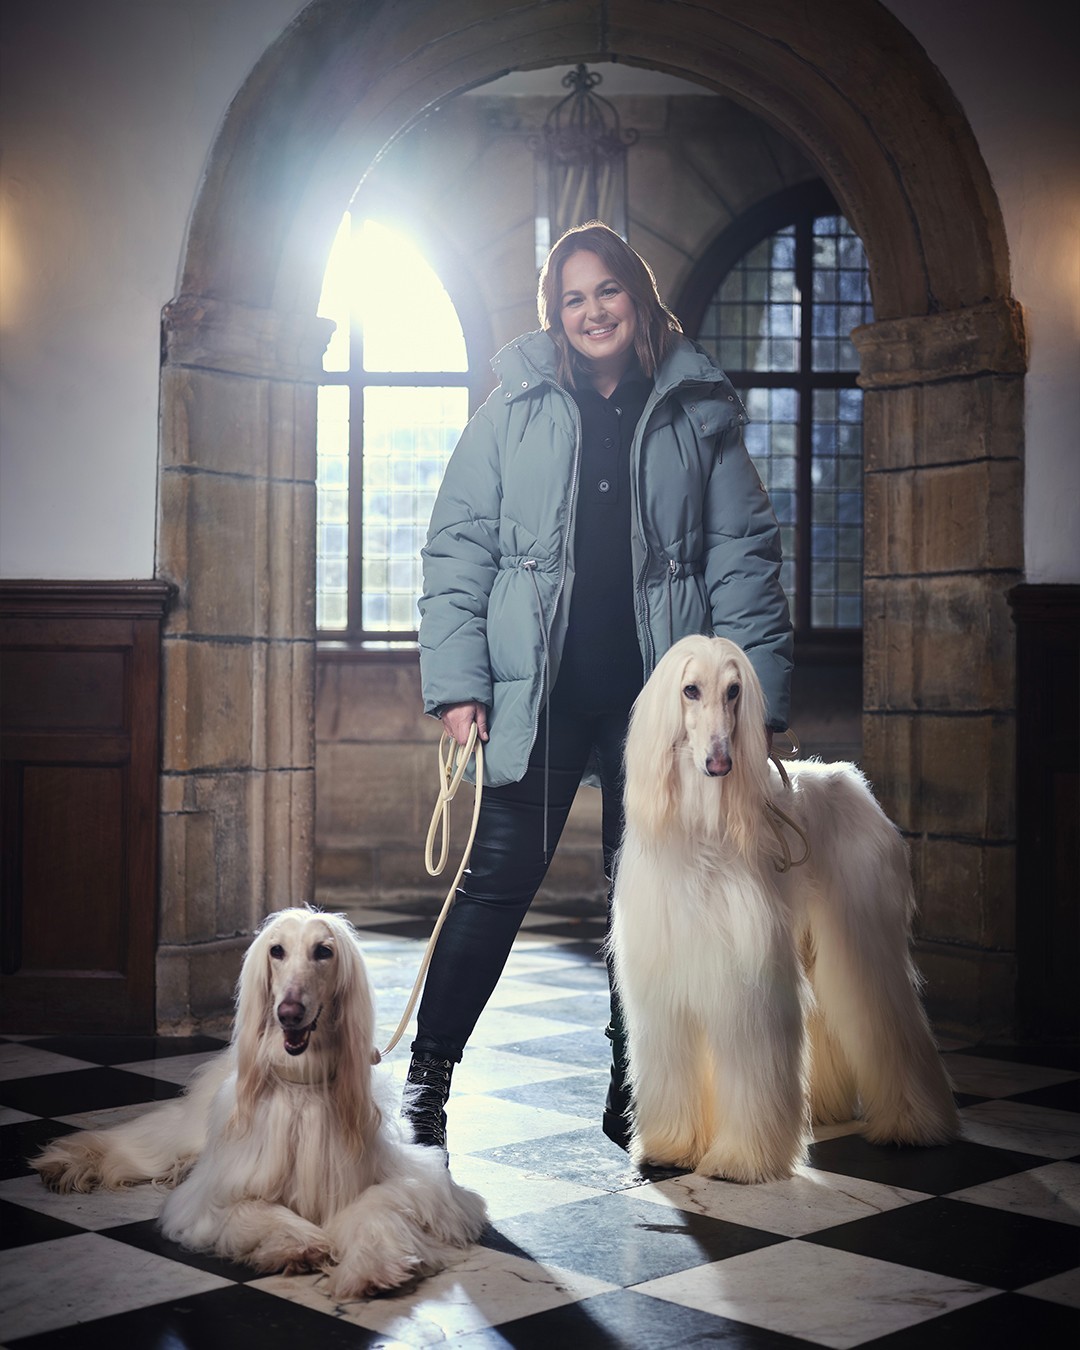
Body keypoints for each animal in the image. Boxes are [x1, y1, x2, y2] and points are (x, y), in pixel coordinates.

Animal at [33, 908, 487, 1297]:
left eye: (324, 951)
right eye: (277, 950)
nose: (289, 1012)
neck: (302, 1081)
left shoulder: (413, 1179)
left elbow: (377, 1206)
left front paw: (372, 1266)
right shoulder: (213, 1194)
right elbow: (248, 1208)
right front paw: (299, 1243)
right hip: (193, 1130)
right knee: (148, 1141)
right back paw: (69, 1161)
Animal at [609, 635, 958, 1183]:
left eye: (735, 690)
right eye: (690, 689)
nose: (720, 763)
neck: (701, 828)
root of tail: (850, 779)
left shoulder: (748, 980)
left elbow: (755, 1063)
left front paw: (742, 1158)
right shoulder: (666, 985)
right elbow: (673, 1062)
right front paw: (672, 1145)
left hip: (859, 933)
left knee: (885, 1015)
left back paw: (915, 1123)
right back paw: (830, 1108)